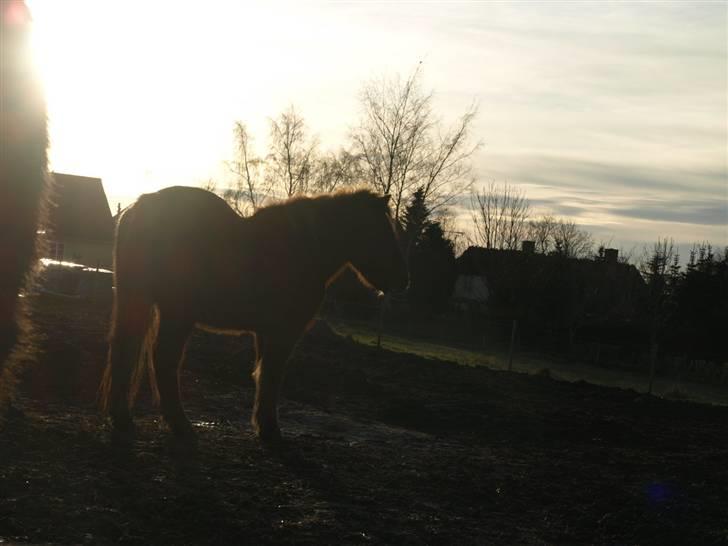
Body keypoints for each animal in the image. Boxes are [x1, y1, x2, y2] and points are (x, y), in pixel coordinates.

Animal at [101, 185, 410, 440]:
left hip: (145, 303)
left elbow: (262, 375)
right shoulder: (283, 333)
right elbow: (272, 376)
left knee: (128, 351)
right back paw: (177, 424)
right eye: (381, 232)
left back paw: (127, 418)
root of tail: (139, 207)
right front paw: (269, 429)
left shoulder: (265, 332)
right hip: (175, 312)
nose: (403, 281)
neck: (304, 249)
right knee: (161, 359)